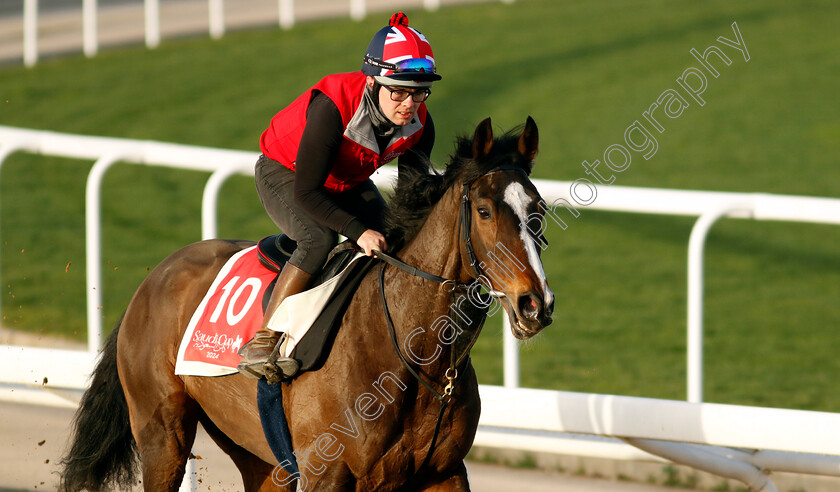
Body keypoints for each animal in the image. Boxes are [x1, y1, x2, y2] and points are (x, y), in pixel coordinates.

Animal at [60, 117, 556, 490]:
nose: (535, 303)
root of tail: (154, 278)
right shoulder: (327, 472)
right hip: (162, 434)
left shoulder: (443, 473)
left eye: (539, 209)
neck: (415, 355)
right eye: (485, 211)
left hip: (259, 455)